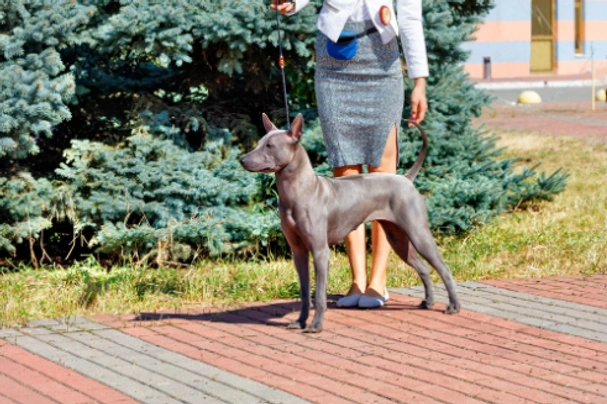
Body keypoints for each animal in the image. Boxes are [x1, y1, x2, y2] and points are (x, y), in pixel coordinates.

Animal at [240, 113, 458, 332]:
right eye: (259, 143)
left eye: (270, 146)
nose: (242, 160)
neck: (298, 191)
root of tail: (405, 179)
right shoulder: (298, 252)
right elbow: (304, 292)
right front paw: (301, 321)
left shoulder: (320, 251)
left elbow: (319, 294)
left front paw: (316, 325)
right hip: (397, 239)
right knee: (424, 268)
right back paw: (428, 302)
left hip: (418, 233)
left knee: (444, 269)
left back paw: (453, 306)